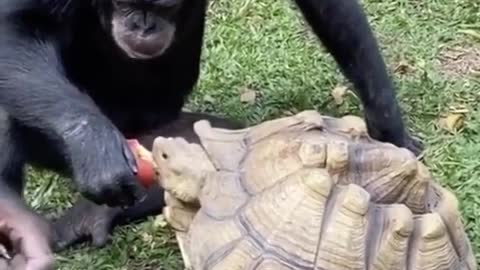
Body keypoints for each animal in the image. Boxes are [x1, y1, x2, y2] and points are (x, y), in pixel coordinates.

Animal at [0, 0, 420, 266]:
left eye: (166, 7)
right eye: (122, 3)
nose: (143, 24)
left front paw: (388, 126)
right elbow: (20, 25)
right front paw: (93, 146)